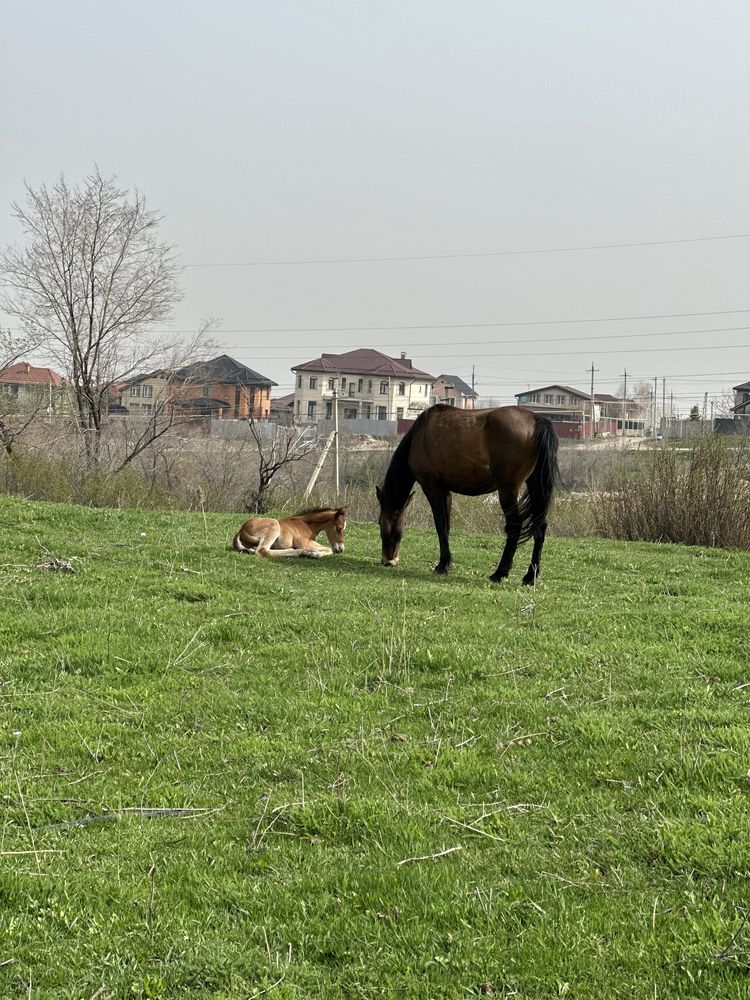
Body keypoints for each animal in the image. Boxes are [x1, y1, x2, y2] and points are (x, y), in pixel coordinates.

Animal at [376, 402, 560, 584]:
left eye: (379, 522)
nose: (388, 561)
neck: (419, 436)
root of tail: (536, 419)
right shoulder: (445, 490)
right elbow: (446, 525)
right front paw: (447, 562)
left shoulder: (431, 487)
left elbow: (440, 524)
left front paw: (442, 565)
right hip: (535, 486)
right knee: (540, 526)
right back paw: (530, 576)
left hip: (508, 489)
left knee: (515, 524)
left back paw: (500, 572)